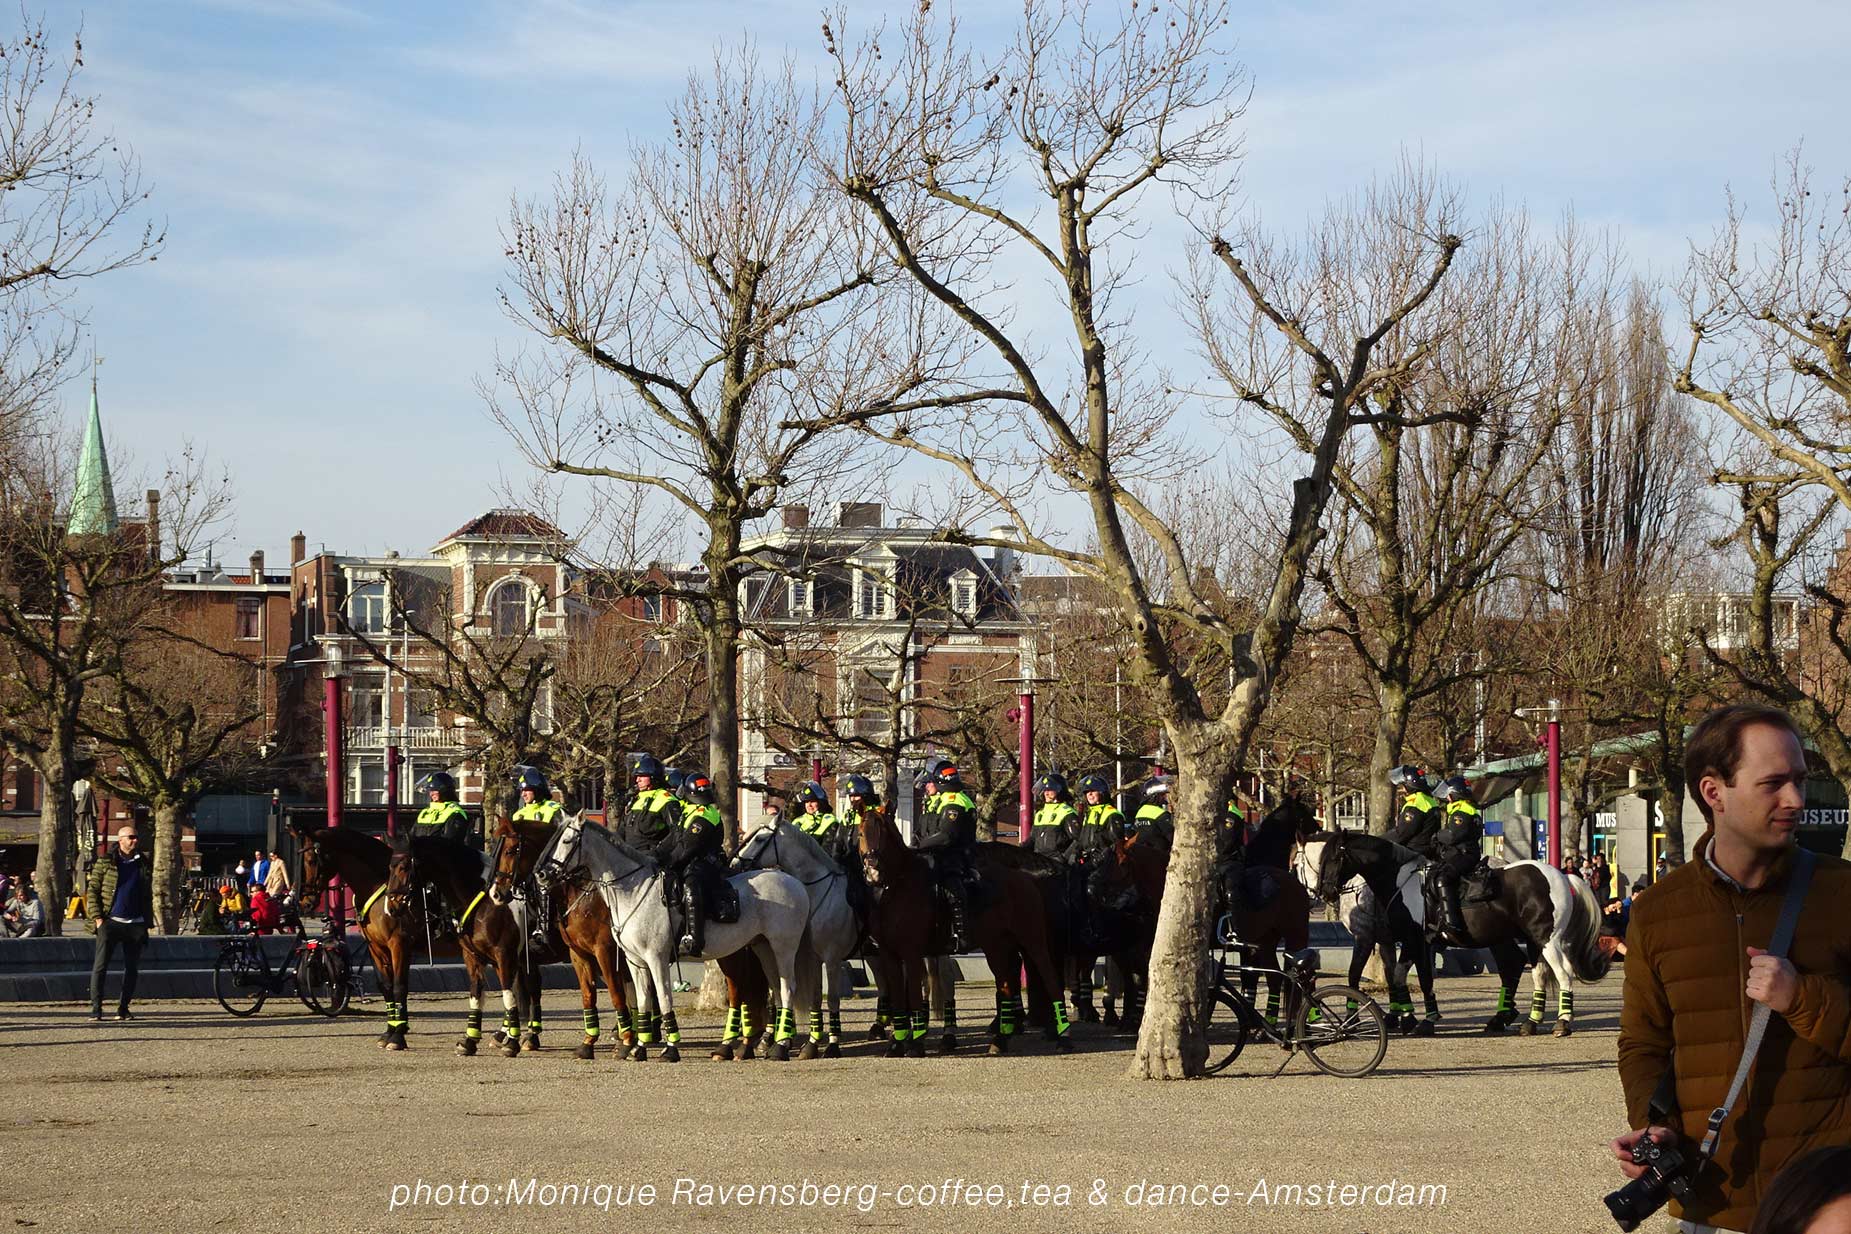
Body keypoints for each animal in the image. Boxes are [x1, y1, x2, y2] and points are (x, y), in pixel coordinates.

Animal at [390, 832, 549, 1057]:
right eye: (389, 867)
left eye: (403, 867)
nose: (391, 906)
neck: (484, 902)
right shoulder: (473, 955)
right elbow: (477, 993)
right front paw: (470, 1040)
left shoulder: (504, 955)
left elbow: (508, 995)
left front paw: (512, 1042)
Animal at [537, 815, 811, 1061]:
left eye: (567, 840)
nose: (541, 874)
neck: (633, 891)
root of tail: (794, 882)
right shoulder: (634, 961)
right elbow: (643, 1001)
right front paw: (638, 1048)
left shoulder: (655, 958)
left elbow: (663, 997)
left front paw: (670, 1048)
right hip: (762, 948)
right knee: (774, 989)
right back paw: (757, 1045)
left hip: (783, 948)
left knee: (788, 987)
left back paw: (780, 1047)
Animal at [730, 819, 860, 1059]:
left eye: (760, 838)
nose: (734, 864)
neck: (817, 892)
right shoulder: (814, 957)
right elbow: (815, 998)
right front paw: (809, 1044)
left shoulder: (832, 958)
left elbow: (833, 999)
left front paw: (832, 1045)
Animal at [858, 807, 1071, 1057]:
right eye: (861, 832)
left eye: (884, 832)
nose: (872, 867)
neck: (896, 888)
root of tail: (1025, 878)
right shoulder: (888, 954)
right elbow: (899, 999)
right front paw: (896, 1044)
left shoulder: (911, 953)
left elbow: (914, 996)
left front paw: (916, 1045)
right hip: (997, 946)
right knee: (1006, 986)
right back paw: (1001, 1039)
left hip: (1033, 942)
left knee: (1050, 980)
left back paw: (1063, 1036)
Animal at [1301, 830, 1612, 1036]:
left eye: (1333, 857)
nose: (1323, 892)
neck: (1401, 881)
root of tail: (1561, 875)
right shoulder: (1413, 942)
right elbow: (1411, 977)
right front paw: (1413, 1018)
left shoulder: (1403, 939)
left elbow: (1391, 976)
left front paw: (1412, 1019)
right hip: (1529, 940)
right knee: (1529, 972)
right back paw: (1525, 1022)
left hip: (1547, 940)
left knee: (1562, 974)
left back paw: (1562, 1022)